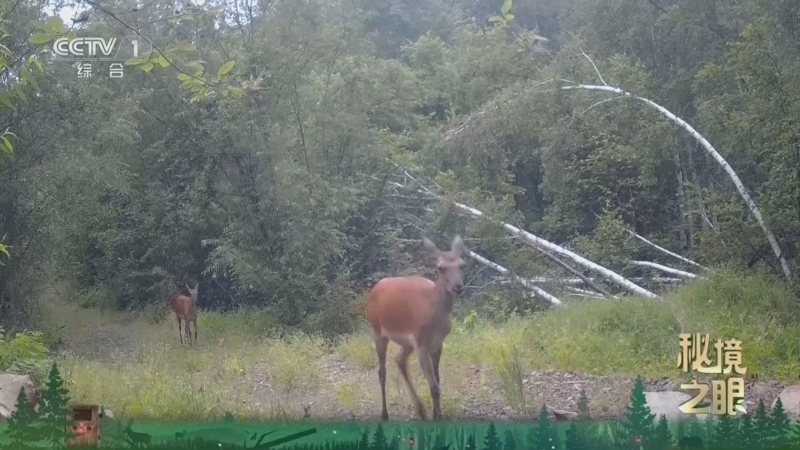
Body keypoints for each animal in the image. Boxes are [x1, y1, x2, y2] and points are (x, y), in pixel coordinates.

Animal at [365, 235, 466, 421]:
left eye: (462, 265)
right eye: (441, 268)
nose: (458, 286)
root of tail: (374, 289)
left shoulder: (437, 343)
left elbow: (438, 381)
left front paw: (435, 413)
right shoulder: (421, 343)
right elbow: (434, 386)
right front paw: (437, 417)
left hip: (407, 342)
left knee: (399, 360)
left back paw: (420, 409)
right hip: (377, 330)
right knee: (382, 372)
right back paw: (384, 413)